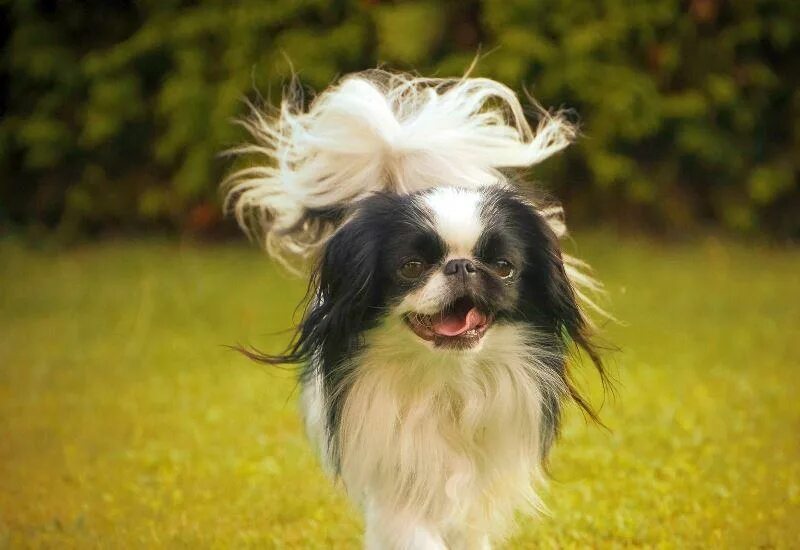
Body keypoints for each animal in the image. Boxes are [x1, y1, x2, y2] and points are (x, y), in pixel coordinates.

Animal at [220, 71, 608, 548]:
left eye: (502, 267)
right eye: (411, 267)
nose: (461, 265)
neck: (449, 380)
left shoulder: (475, 491)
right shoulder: (397, 483)